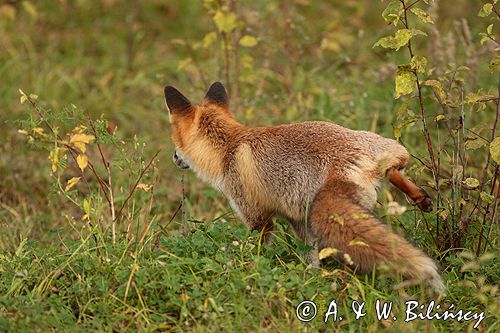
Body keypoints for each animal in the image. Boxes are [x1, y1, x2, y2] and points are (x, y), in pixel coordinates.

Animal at [164, 82, 446, 290]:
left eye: (175, 141)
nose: (174, 157)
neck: (229, 148)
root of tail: (359, 160)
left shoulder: (257, 216)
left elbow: (259, 247)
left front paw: (251, 269)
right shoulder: (296, 219)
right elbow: (311, 256)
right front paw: (311, 278)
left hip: (320, 209)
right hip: (385, 147)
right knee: (397, 166)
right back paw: (420, 198)